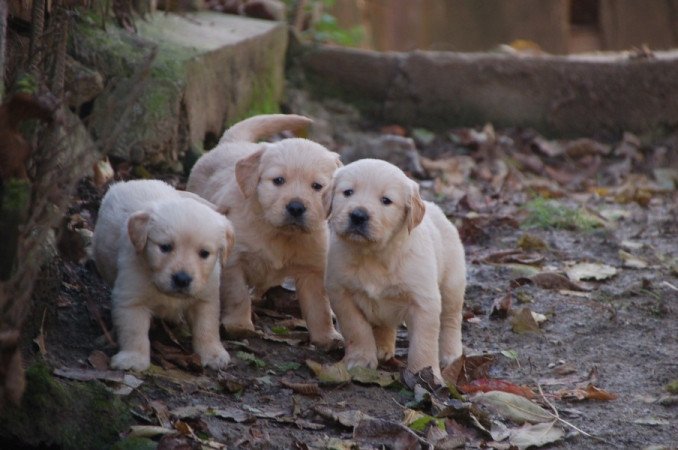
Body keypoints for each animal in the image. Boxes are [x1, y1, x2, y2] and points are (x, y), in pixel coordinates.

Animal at [93, 178, 235, 370]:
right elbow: (133, 330)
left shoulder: (206, 297)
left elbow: (207, 327)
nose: (182, 279)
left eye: (204, 253)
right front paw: (133, 358)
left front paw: (213, 353)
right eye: (165, 247)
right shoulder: (131, 298)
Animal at [187, 115, 342, 348]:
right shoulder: (234, 261)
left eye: (317, 186)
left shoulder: (313, 269)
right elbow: (238, 295)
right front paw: (239, 325)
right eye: (278, 180)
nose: (296, 207)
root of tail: (231, 142)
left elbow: (319, 307)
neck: (279, 233)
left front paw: (327, 337)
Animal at [326, 158, 468, 380]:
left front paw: (424, 373)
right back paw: (382, 347)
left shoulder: (423, 301)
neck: (373, 255)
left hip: (452, 283)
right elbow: (356, 328)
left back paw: (451, 355)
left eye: (386, 200)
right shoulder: (341, 294)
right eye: (348, 192)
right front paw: (360, 359)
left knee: (451, 319)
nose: (358, 215)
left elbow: (423, 342)